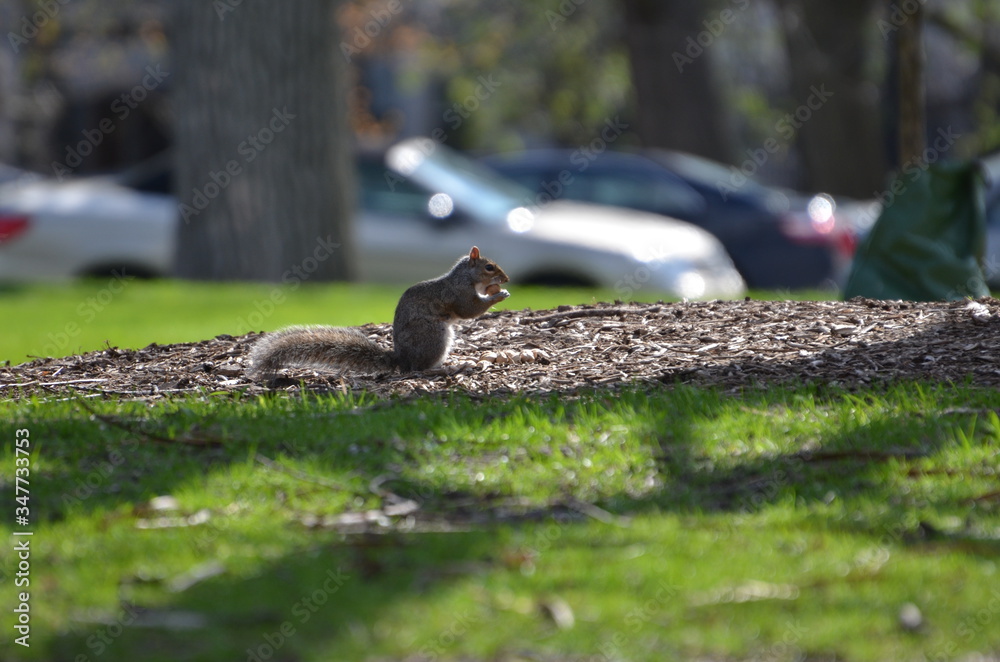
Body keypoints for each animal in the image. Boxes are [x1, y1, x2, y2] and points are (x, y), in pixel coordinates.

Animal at [246, 246, 510, 379]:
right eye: (489, 267)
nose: (506, 279)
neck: (466, 277)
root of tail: (402, 358)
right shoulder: (458, 293)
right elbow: (470, 309)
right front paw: (498, 296)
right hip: (433, 336)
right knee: (418, 368)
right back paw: (445, 368)